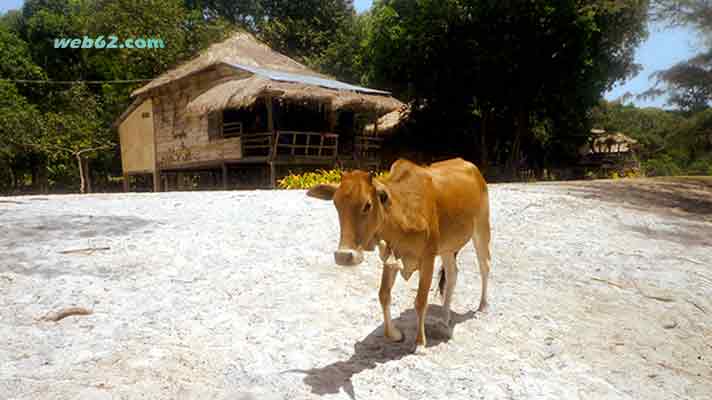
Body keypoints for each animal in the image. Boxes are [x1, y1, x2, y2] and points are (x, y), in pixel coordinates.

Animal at [307, 158, 491, 352]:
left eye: (367, 205)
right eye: (336, 204)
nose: (343, 256)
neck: (402, 213)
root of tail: (470, 166)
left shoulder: (428, 258)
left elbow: (421, 300)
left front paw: (420, 343)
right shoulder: (390, 257)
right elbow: (384, 295)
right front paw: (394, 334)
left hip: (481, 228)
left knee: (484, 265)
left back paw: (483, 306)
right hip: (447, 247)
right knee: (452, 274)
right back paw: (444, 320)